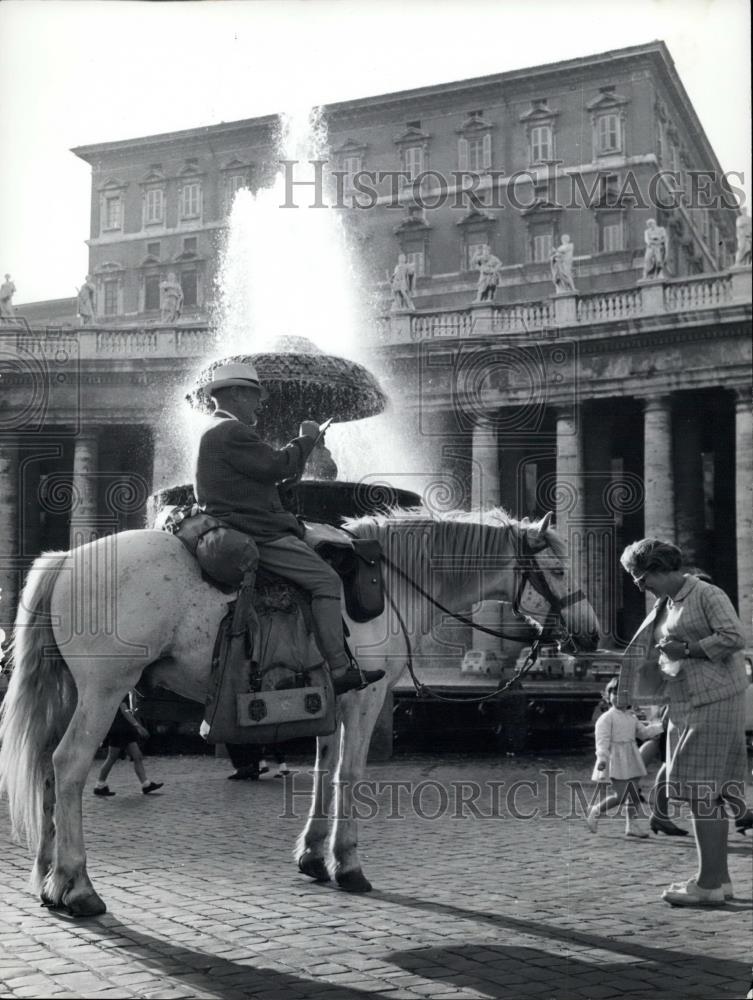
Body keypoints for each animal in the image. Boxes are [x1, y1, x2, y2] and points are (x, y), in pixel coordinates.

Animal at [1, 508, 600, 916]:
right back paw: (78, 885)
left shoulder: (328, 696)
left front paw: (314, 856)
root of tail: (68, 558)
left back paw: (49, 880)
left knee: (48, 767)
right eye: (558, 569)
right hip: (105, 690)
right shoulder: (365, 695)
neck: (395, 586)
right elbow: (349, 773)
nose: (591, 635)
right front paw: (349, 863)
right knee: (70, 765)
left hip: (73, 692)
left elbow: (322, 770)